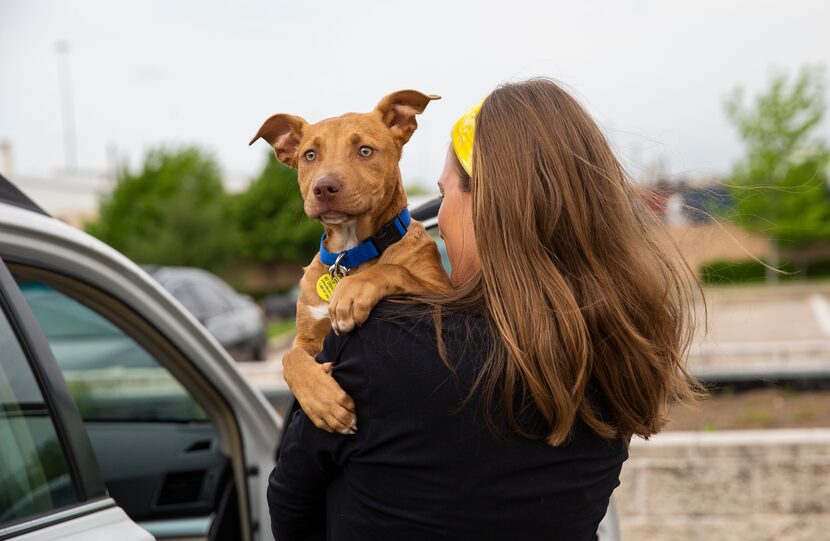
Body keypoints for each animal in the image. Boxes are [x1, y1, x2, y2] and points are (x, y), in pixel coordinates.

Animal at [250, 90, 452, 432]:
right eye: (309, 155)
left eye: (365, 150)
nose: (324, 187)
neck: (350, 253)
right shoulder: (306, 337)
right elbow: (290, 359)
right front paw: (324, 402)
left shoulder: (443, 290)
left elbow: (395, 268)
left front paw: (352, 293)